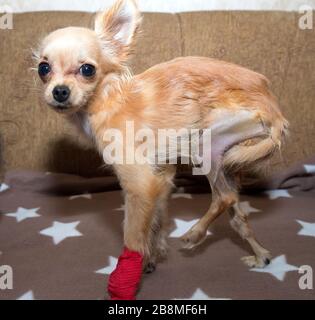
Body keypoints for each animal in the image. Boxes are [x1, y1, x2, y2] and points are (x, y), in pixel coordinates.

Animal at [36, 0, 288, 272]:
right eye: (43, 68)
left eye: (87, 70)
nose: (60, 91)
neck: (107, 101)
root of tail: (274, 107)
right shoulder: (161, 177)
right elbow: (156, 220)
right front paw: (153, 254)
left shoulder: (140, 183)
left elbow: (134, 235)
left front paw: (130, 269)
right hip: (225, 156)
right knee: (236, 212)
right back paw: (260, 256)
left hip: (206, 141)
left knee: (225, 197)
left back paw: (195, 234)